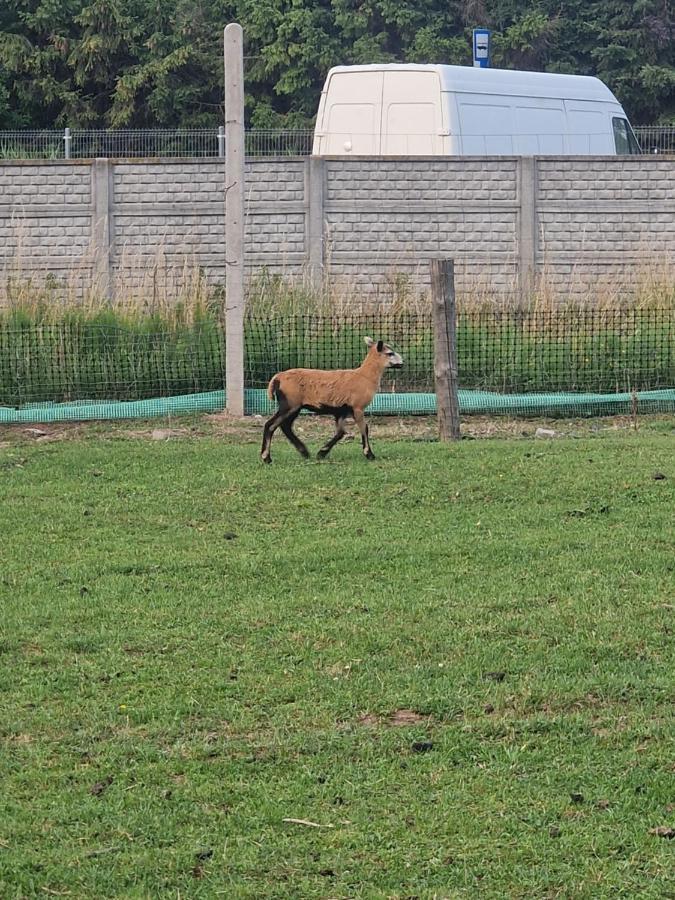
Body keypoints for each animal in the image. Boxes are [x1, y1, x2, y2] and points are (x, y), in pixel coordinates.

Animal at [262, 338, 404, 464]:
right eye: (390, 353)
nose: (402, 362)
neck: (365, 377)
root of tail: (278, 377)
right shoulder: (357, 407)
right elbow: (364, 428)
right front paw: (369, 455)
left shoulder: (341, 410)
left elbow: (340, 432)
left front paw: (322, 453)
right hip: (289, 403)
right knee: (270, 425)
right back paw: (266, 458)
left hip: (294, 406)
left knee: (285, 426)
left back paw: (304, 452)